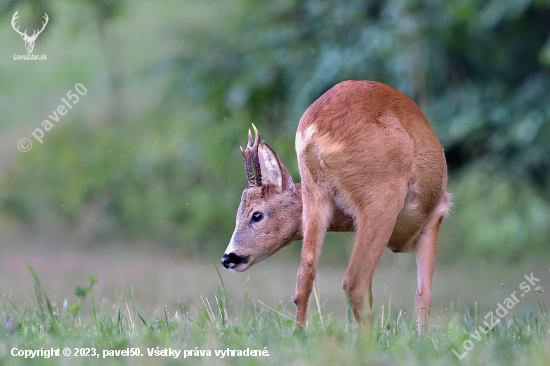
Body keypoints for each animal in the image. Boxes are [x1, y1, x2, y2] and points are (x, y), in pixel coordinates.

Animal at [221, 80, 452, 332]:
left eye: (256, 215)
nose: (228, 257)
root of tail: (315, 129)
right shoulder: (435, 217)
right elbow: (423, 294)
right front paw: (423, 337)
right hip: (381, 196)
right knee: (355, 280)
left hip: (315, 192)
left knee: (305, 272)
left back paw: (299, 332)